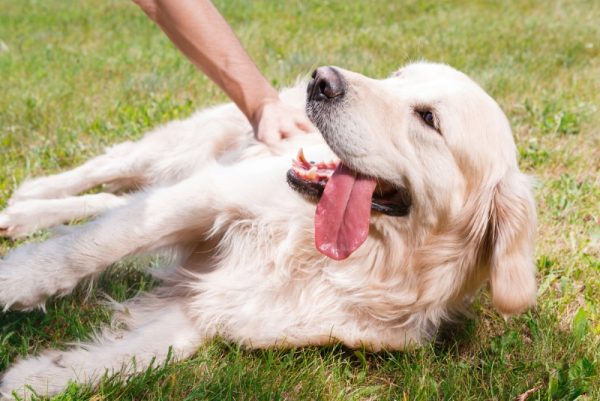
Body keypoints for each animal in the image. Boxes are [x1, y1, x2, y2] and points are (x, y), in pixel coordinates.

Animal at [0, 61, 536, 396]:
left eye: (428, 118)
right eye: (398, 76)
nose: (323, 80)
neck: (347, 260)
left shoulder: (219, 303)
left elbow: (138, 354)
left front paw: (37, 378)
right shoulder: (211, 192)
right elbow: (82, 250)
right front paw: (13, 283)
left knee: (113, 197)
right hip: (183, 147)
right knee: (107, 171)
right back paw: (27, 200)